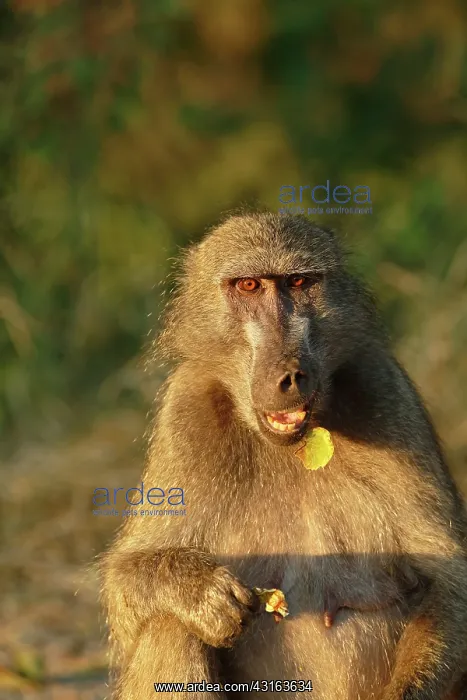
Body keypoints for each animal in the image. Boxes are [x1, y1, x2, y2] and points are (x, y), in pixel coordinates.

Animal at [100, 212, 467, 700]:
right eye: (249, 286)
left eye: (298, 281)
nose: (290, 375)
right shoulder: (185, 409)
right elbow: (124, 583)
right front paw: (200, 592)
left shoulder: (384, 387)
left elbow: (447, 579)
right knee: (170, 627)